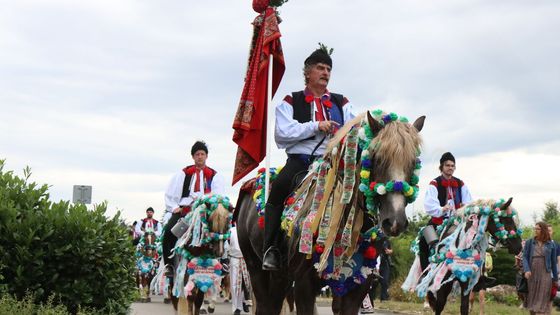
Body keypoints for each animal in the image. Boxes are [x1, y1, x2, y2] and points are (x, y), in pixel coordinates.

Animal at [235, 109, 424, 315]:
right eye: (377, 158)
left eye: (413, 163)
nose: (395, 221)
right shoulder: (304, 284)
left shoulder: (356, 286)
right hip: (256, 269)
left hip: (280, 277)